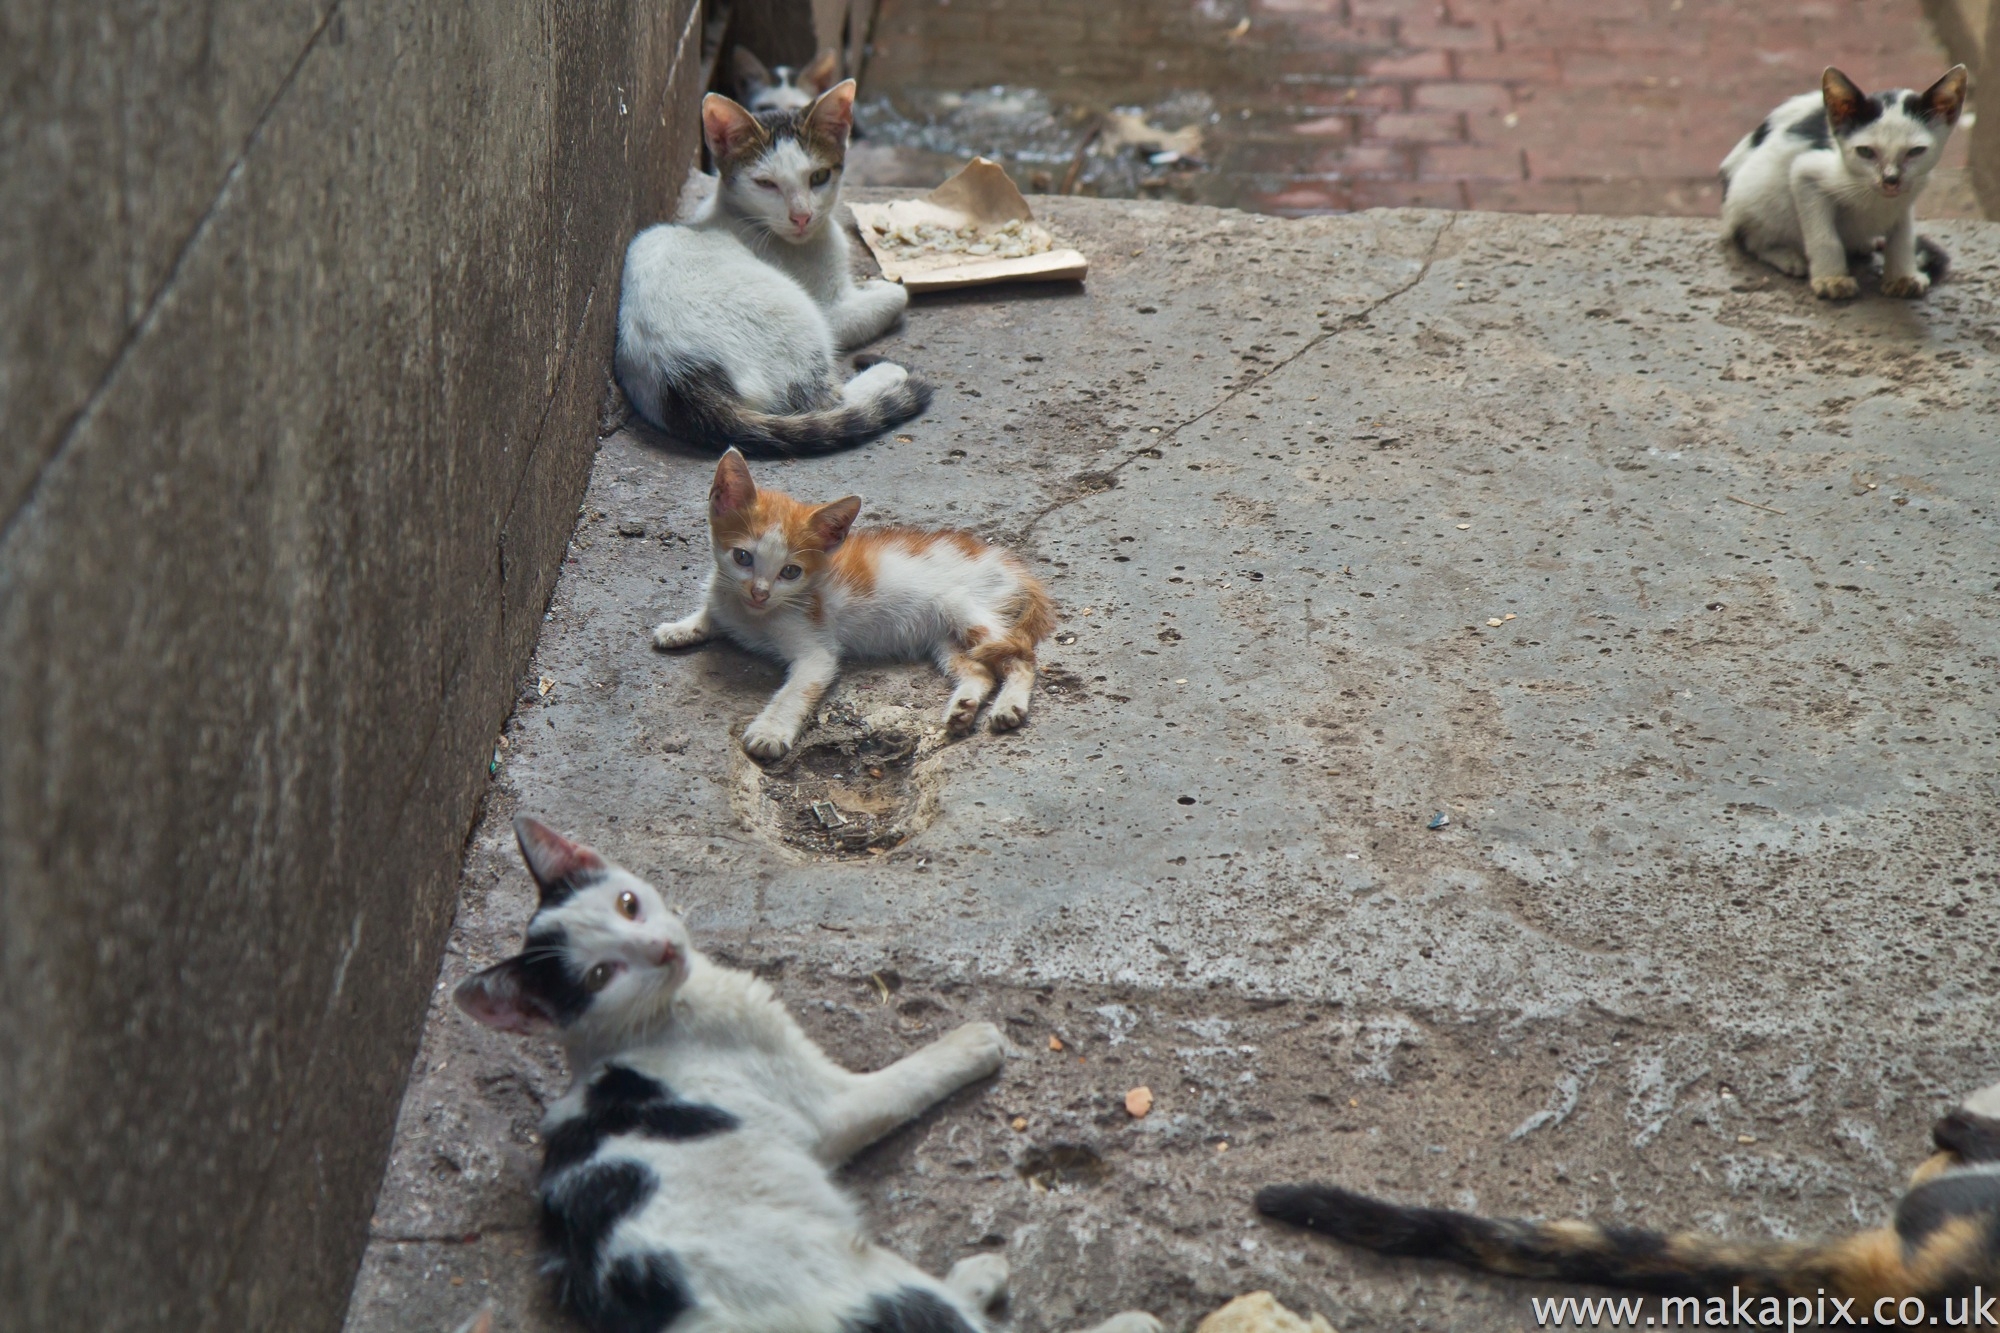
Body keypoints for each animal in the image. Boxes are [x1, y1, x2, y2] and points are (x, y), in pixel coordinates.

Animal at [458, 816, 1168, 1328]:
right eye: (601, 976)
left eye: (628, 904)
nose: (660, 949)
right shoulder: (826, 1108)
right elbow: (902, 1081)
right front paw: (973, 1041)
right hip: (864, 1286)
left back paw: (977, 1277)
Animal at [612, 83, 924, 460]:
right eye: (766, 184)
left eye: (819, 177)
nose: (801, 216)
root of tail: (677, 378)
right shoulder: (833, 311)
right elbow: (898, 294)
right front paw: (885, 287)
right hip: (799, 318)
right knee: (827, 402)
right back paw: (886, 374)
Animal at [656, 448, 1064, 752]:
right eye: (742, 557)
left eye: (790, 572)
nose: (759, 593)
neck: (752, 616)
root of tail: (1013, 567)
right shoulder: (726, 595)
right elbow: (712, 609)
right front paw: (680, 628)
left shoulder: (817, 652)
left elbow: (796, 690)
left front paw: (770, 731)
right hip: (946, 638)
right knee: (980, 670)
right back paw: (963, 708)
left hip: (966, 611)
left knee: (1022, 657)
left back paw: (1009, 706)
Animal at [1720, 66, 1968, 300]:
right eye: (1865, 151)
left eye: (1916, 151)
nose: (1890, 179)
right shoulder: (1807, 172)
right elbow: (1824, 236)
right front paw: (1832, 279)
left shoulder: (1907, 194)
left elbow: (1903, 234)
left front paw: (1903, 276)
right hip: (1753, 196)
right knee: (1751, 238)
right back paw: (1787, 256)